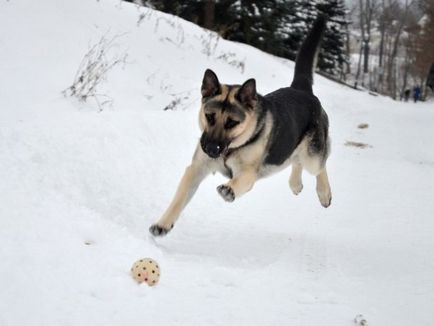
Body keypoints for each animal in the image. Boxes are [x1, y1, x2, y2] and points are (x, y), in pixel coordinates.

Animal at [149, 15, 332, 237]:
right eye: (209, 116)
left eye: (232, 123)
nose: (210, 149)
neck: (232, 147)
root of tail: (301, 89)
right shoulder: (196, 169)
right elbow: (179, 198)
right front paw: (163, 223)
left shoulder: (248, 175)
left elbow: (238, 181)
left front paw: (229, 189)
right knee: (295, 160)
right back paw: (295, 184)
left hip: (313, 155)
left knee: (321, 164)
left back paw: (324, 193)